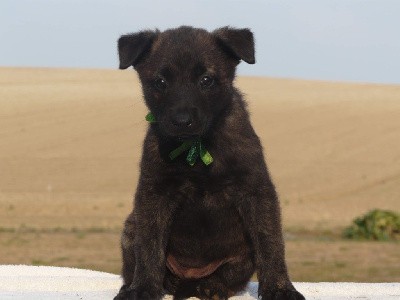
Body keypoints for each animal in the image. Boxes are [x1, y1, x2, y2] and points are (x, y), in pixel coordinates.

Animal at [114, 26, 304, 300]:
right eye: (160, 82)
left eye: (206, 80)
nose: (182, 121)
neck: (197, 146)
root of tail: (190, 277)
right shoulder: (154, 192)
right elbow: (149, 247)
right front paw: (142, 289)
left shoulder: (256, 190)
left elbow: (270, 243)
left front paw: (280, 289)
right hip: (130, 227)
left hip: (241, 256)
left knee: (229, 277)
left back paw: (212, 287)